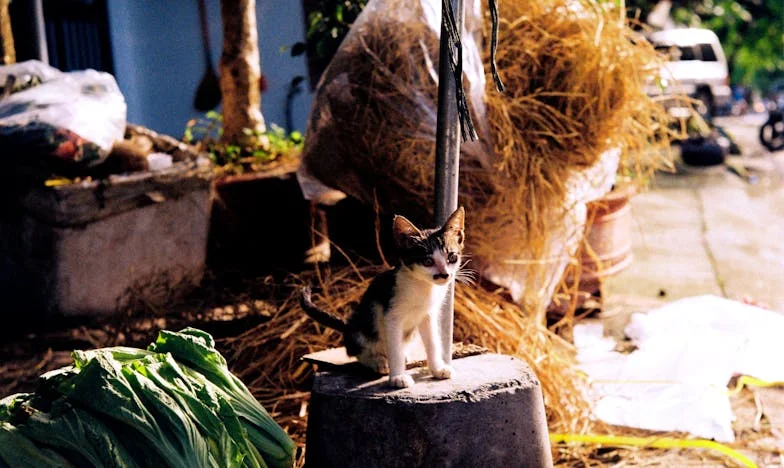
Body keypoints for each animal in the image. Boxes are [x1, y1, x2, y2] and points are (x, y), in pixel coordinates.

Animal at [300, 208, 466, 388]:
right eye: (428, 261)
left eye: (452, 257)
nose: (444, 275)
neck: (423, 287)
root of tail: (348, 326)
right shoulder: (391, 316)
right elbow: (395, 349)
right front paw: (398, 377)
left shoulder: (427, 315)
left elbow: (433, 343)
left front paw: (438, 369)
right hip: (362, 325)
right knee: (358, 351)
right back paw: (378, 361)